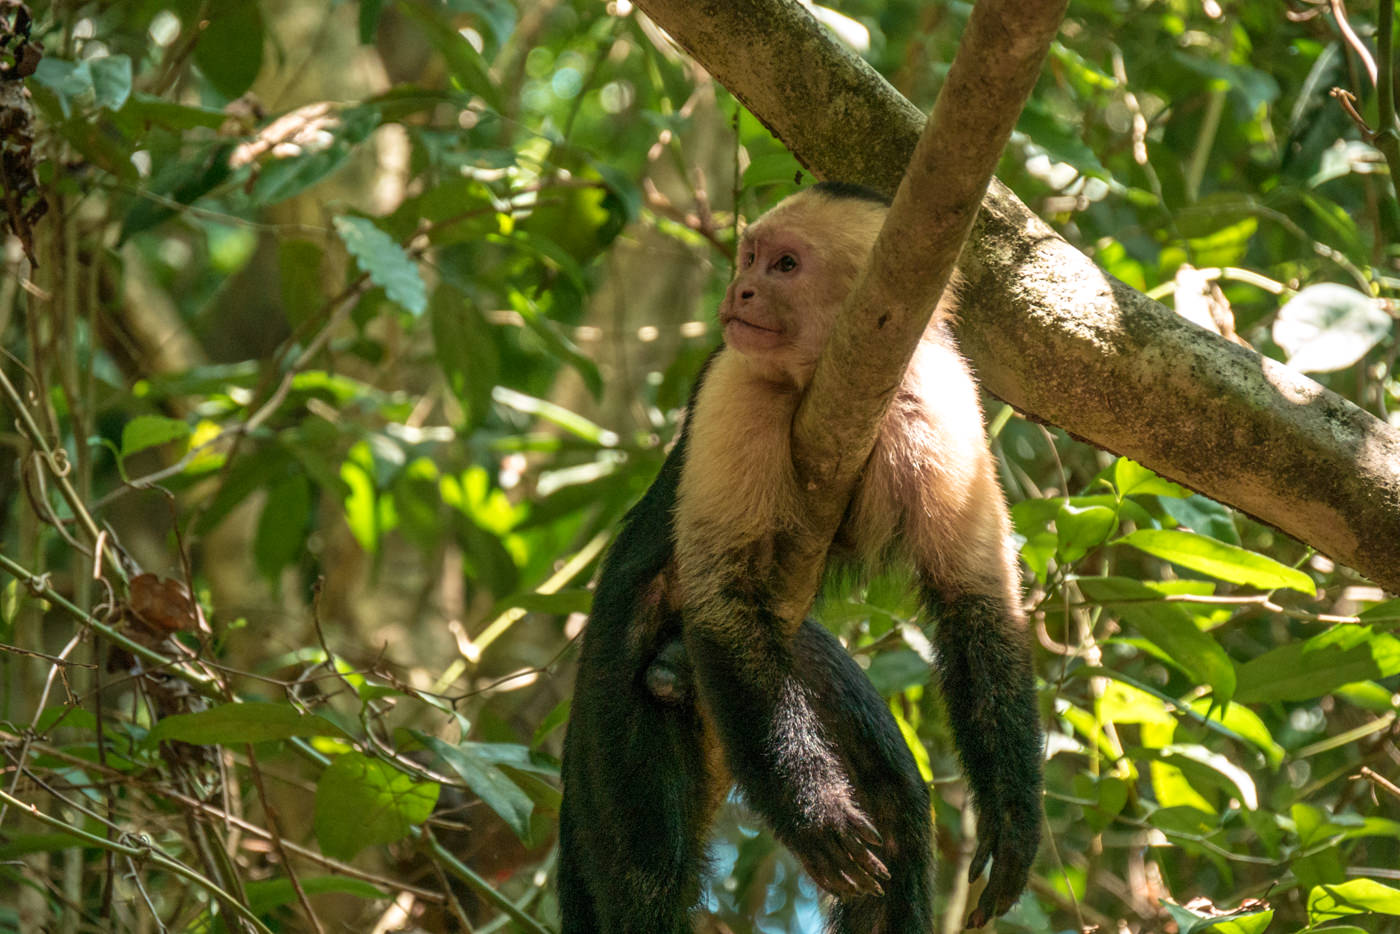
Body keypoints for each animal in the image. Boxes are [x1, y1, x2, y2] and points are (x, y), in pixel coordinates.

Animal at [557, 182, 1041, 934]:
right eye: (751, 257)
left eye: (785, 265)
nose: (741, 290)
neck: (841, 387)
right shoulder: (736, 384)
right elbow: (724, 601)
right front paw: (815, 813)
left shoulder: (938, 392)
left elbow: (975, 598)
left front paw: (1015, 814)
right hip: (612, 689)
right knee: (645, 873)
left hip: (800, 659)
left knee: (896, 815)